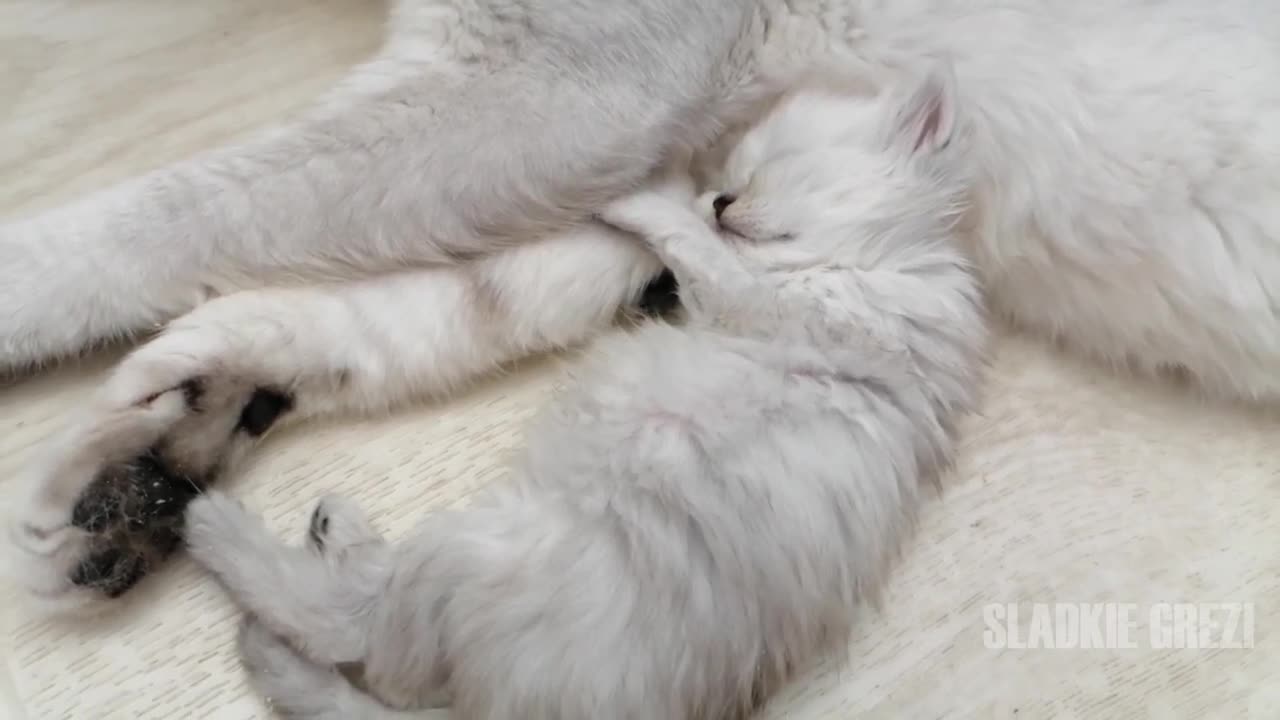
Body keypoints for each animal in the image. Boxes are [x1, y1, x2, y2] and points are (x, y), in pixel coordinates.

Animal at [177, 73, 988, 717]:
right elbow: (694, 249)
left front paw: (642, 196)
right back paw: (332, 534)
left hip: (476, 550)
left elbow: (687, 240)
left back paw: (221, 537)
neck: (882, 265)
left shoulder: (767, 299)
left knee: (352, 627)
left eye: (770, 172)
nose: (723, 198)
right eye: (734, 175)